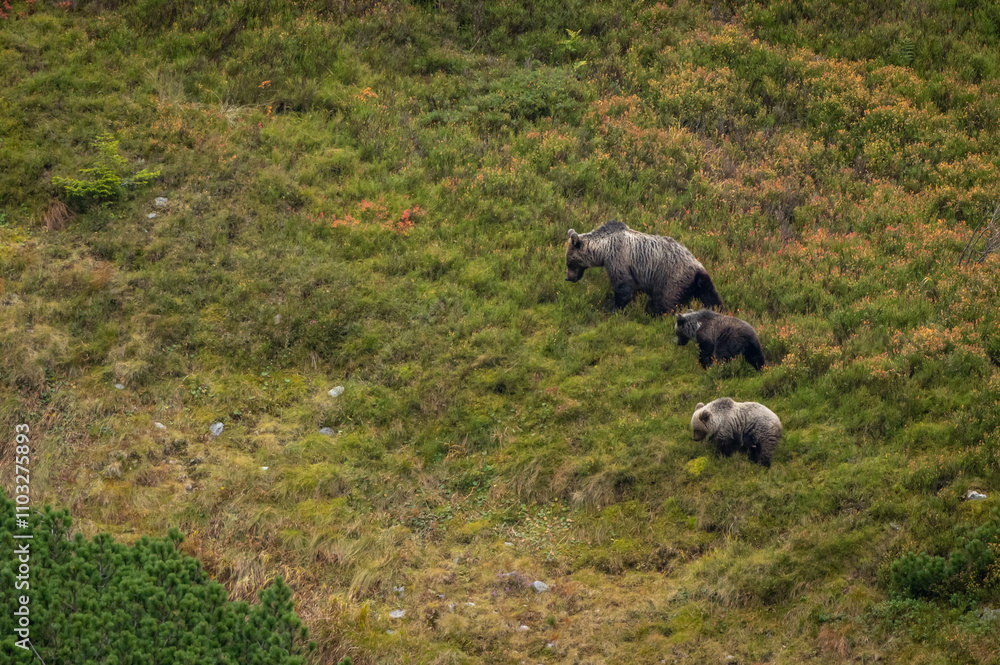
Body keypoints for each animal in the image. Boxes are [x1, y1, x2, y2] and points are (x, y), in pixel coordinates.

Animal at [565, 221, 723, 315]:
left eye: (569, 262)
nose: (568, 278)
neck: (603, 249)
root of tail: (697, 268)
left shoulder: (618, 257)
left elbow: (623, 285)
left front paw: (614, 308)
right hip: (699, 282)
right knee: (711, 297)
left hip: (672, 278)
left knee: (665, 301)